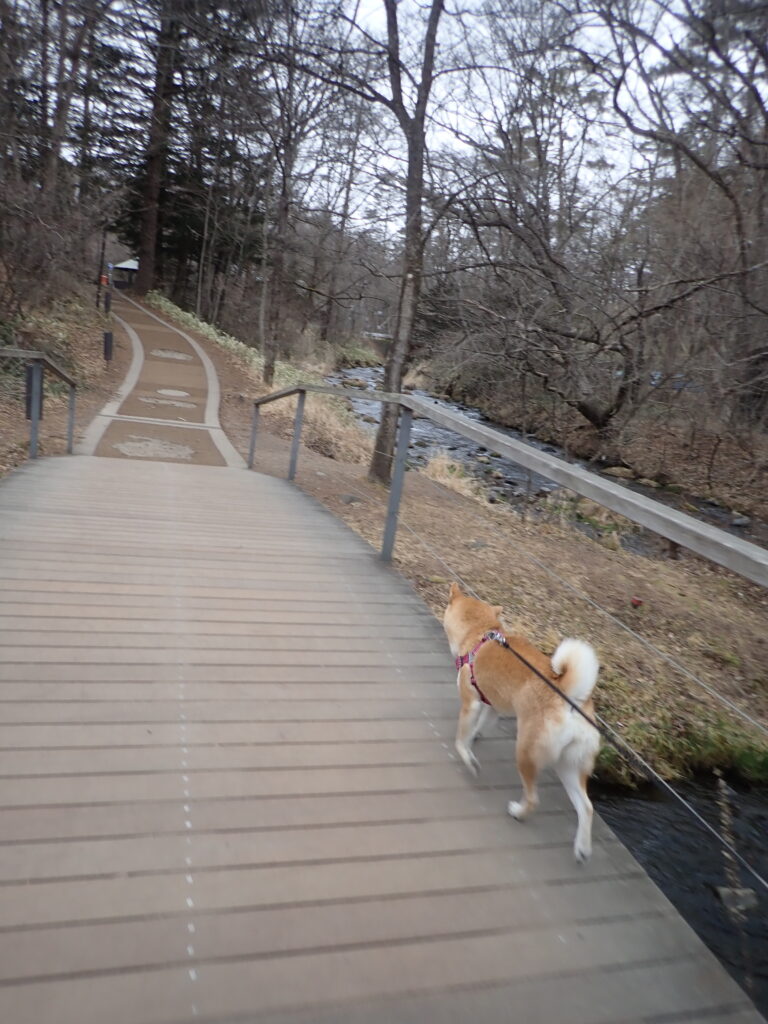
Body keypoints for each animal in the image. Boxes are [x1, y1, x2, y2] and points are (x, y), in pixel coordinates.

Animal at [443, 582, 601, 862]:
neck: (480, 634)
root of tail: (571, 697)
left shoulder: (471, 703)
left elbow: (461, 740)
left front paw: (470, 760)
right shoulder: (491, 706)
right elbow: (480, 727)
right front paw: (476, 738)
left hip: (526, 753)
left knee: (534, 798)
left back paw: (518, 812)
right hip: (568, 765)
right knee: (586, 807)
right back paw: (582, 848)